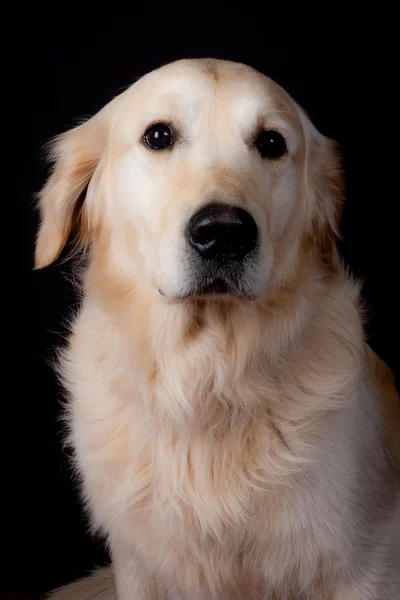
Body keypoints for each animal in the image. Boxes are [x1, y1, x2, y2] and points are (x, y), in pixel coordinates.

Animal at [35, 58, 400, 596]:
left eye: (271, 142)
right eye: (158, 135)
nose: (225, 233)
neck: (208, 377)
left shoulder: (363, 565)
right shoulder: (138, 565)